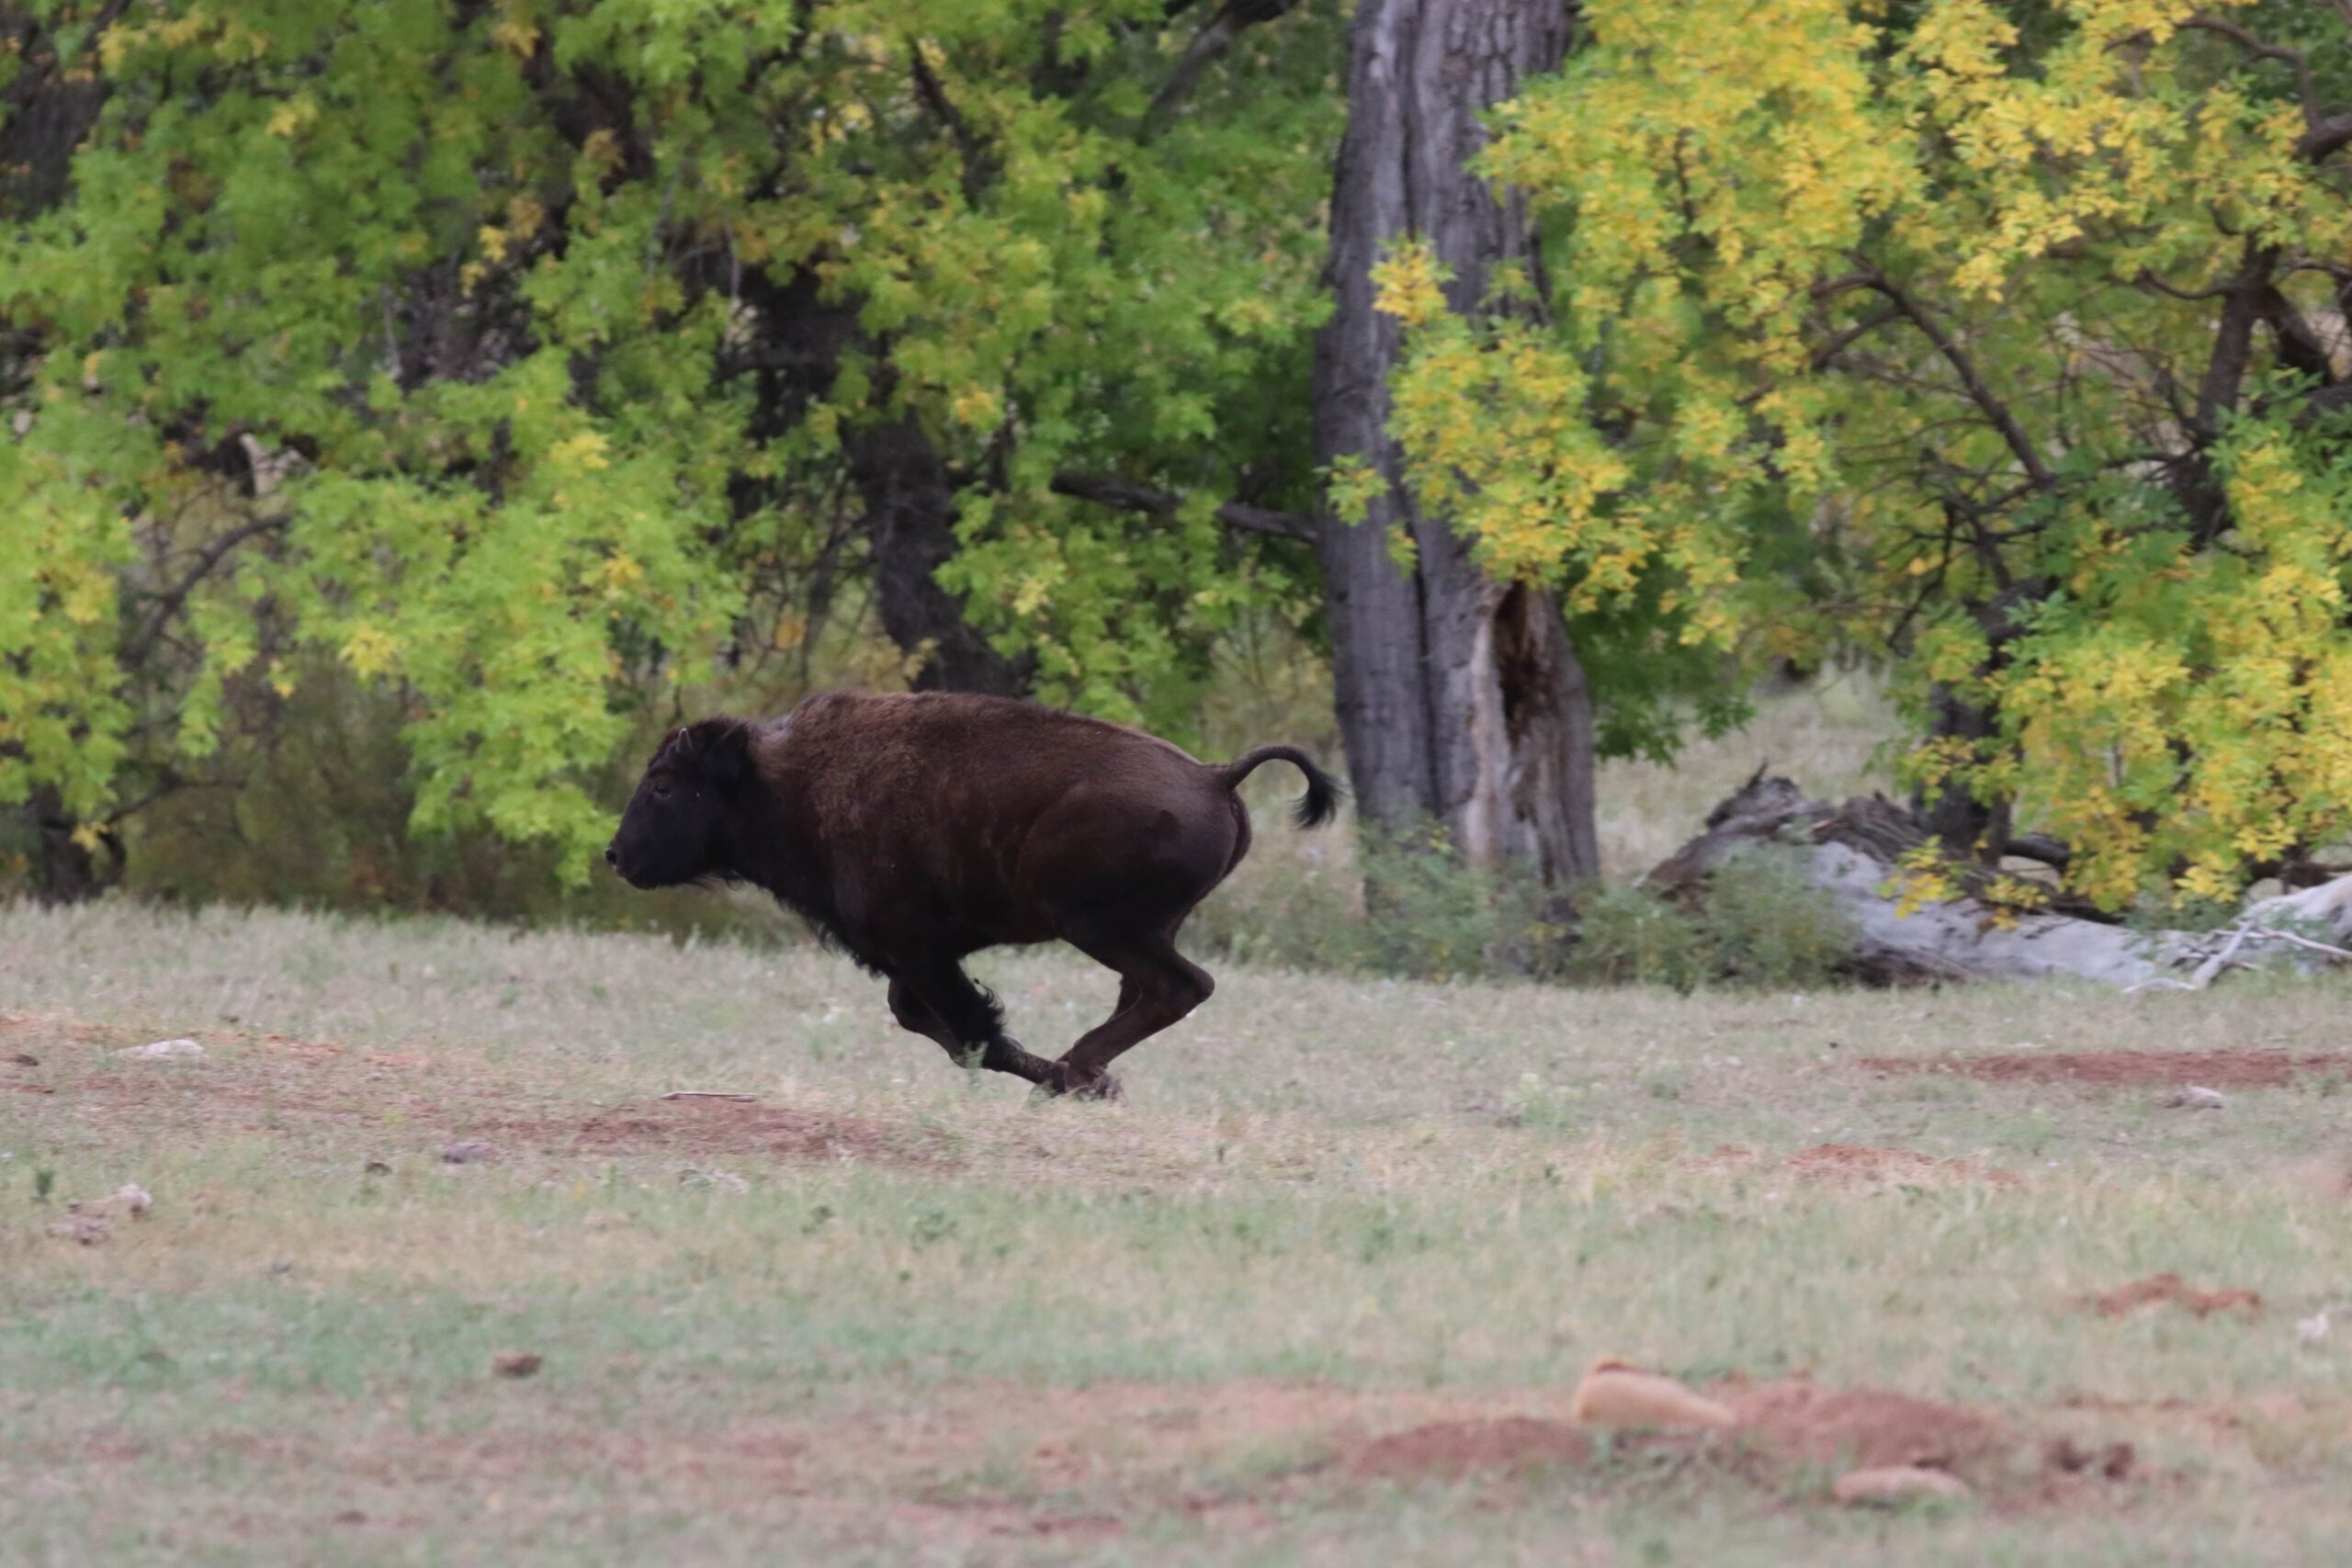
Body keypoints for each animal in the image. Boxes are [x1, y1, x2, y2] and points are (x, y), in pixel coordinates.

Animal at [604, 690, 1340, 1097]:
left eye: (664, 784)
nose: (615, 855)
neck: (787, 781)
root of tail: (1217, 776)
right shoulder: (918, 953)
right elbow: (935, 1024)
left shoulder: (918, 949)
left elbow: (972, 1033)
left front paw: (1077, 1084)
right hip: (1143, 929)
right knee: (1148, 993)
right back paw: (1085, 1074)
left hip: (1098, 927)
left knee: (1181, 986)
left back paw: (1076, 1073)